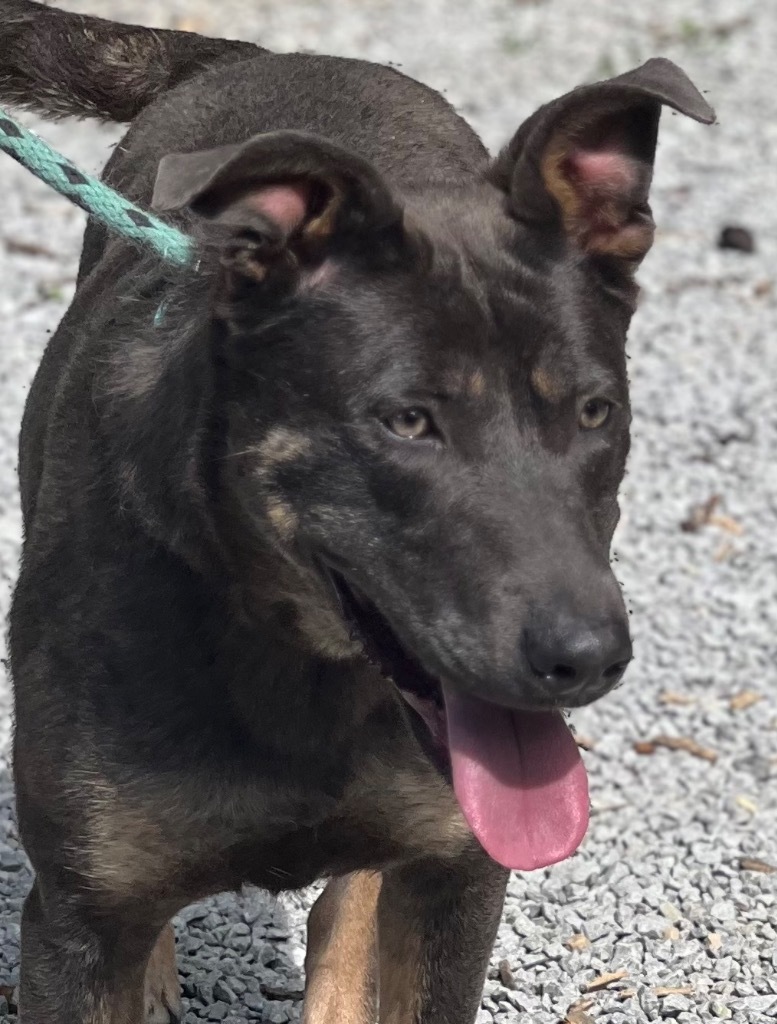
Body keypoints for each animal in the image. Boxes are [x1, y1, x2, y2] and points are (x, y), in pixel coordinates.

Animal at [1, 2, 716, 1024]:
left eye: (593, 411)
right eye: (406, 421)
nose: (586, 662)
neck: (290, 656)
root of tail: (272, 54)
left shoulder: (458, 877)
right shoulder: (77, 922)